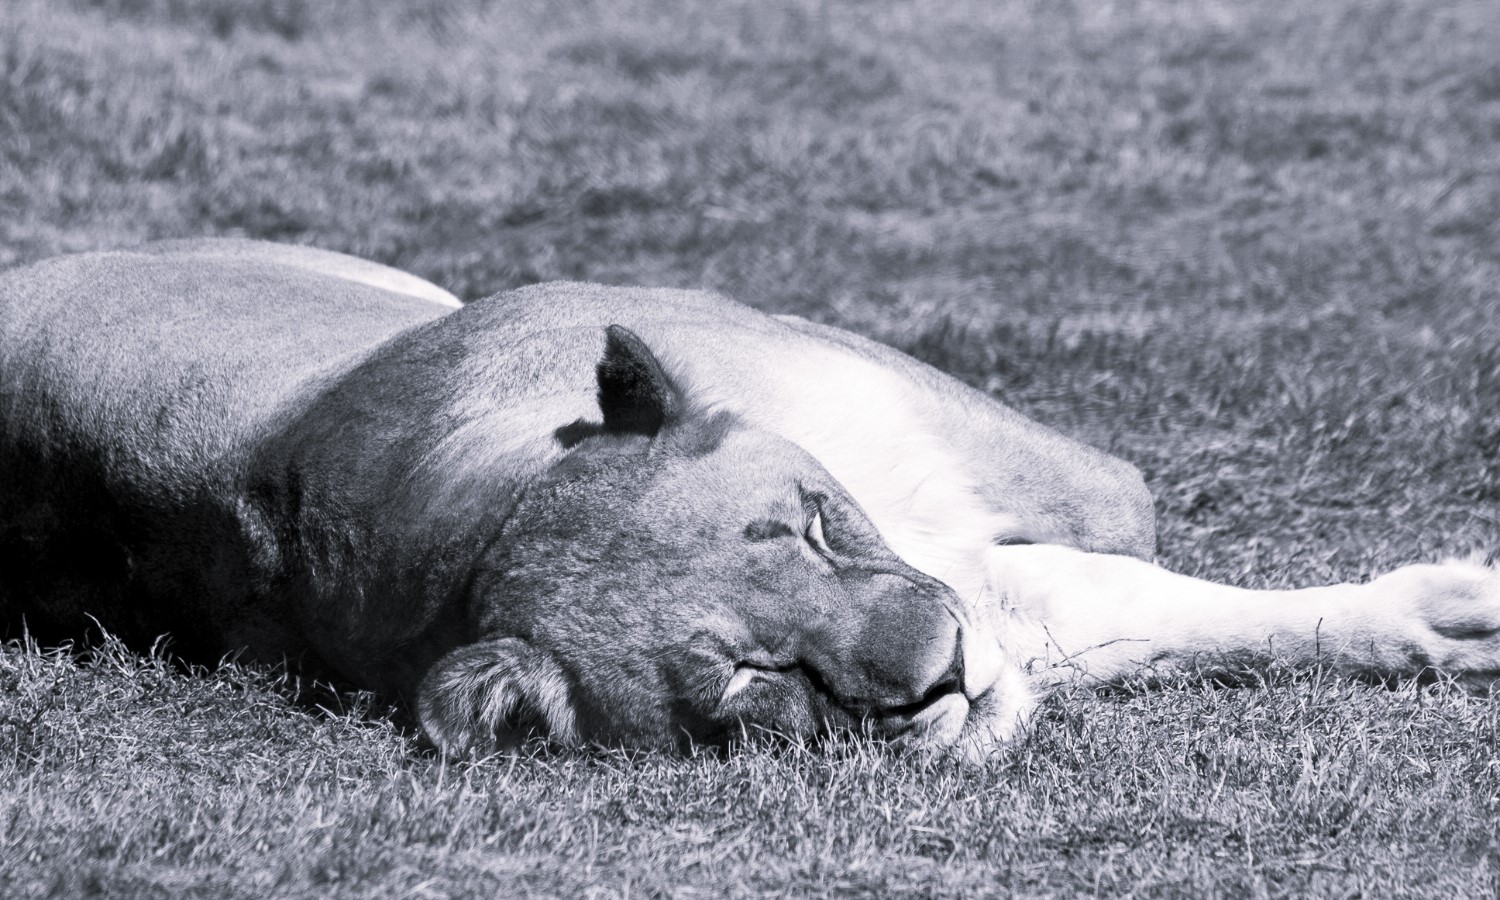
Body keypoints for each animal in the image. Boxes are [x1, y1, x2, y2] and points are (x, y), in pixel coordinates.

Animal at [1, 239, 1495, 759]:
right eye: (748, 683)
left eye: (806, 526)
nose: (938, 678)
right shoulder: (998, 586)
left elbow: (1148, 552)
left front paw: (1460, 615)